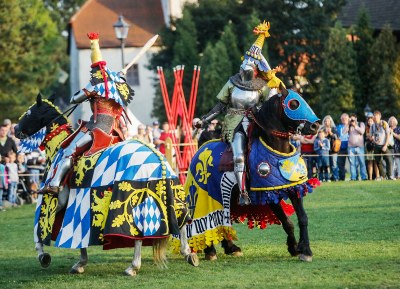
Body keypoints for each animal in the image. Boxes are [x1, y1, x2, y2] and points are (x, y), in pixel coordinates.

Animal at [184, 85, 318, 260]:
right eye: (293, 104)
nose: (316, 126)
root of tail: (200, 149)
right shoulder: (267, 193)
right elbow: (287, 222)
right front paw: (295, 247)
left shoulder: (293, 188)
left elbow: (302, 217)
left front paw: (304, 249)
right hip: (205, 193)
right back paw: (210, 250)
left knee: (222, 218)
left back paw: (231, 247)